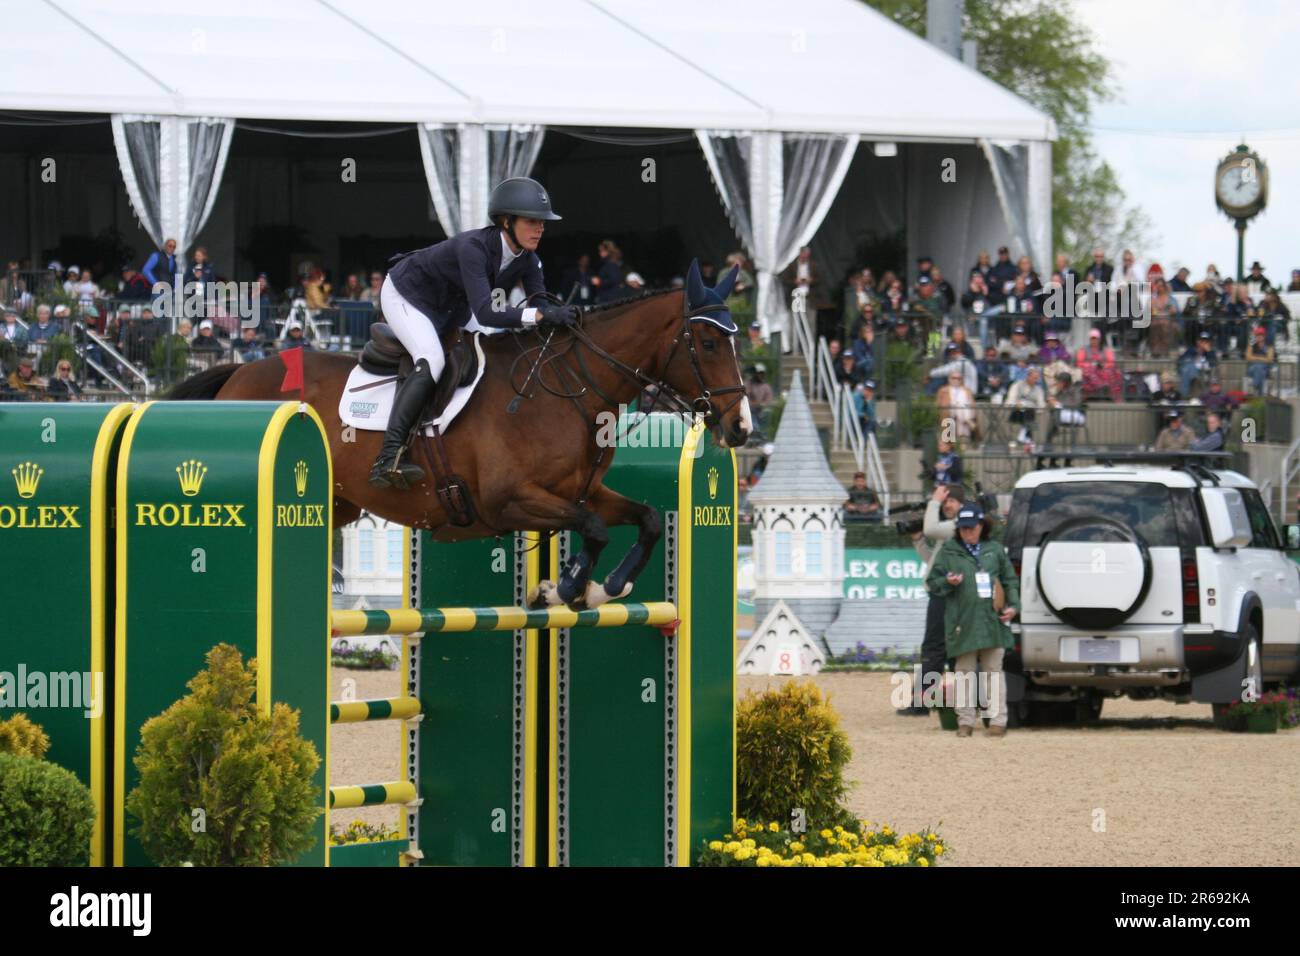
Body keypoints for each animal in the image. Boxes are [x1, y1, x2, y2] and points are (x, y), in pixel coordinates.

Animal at [170, 257, 754, 608]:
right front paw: (564, 586)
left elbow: (647, 518)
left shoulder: (581, 491)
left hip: (338, 504)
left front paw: (606, 587)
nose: (741, 427)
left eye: (736, 338)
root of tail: (241, 371)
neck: (569, 390)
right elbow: (593, 528)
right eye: (706, 343)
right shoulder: (508, 500)